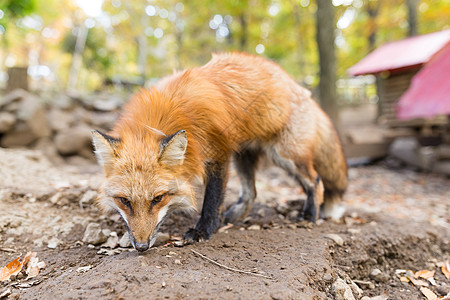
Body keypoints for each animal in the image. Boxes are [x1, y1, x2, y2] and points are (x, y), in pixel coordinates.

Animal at [92, 52, 348, 251]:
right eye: (124, 201)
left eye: (158, 199)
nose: (142, 246)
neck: (169, 113)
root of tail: (301, 88)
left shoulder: (218, 152)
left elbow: (212, 199)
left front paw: (203, 230)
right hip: (244, 155)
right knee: (251, 192)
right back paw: (234, 217)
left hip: (285, 155)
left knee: (316, 181)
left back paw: (310, 215)